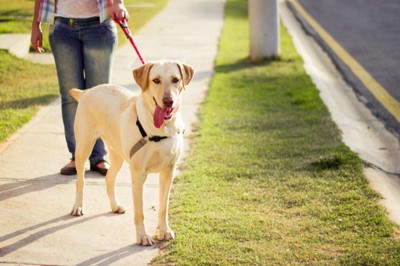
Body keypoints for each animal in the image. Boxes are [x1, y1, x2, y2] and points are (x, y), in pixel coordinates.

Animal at [69, 59, 194, 245]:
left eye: (175, 79)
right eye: (156, 80)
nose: (168, 101)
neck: (162, 128)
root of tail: (86, 92)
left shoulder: (168, 171)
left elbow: (164, 206)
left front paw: (164, 231)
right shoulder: (138, 174)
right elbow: (140, 211)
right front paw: (142, 236)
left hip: (117, 155)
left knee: (109, 178)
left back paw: (115, 206)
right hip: (83, 147)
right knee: (80, 181)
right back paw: (78, 206)